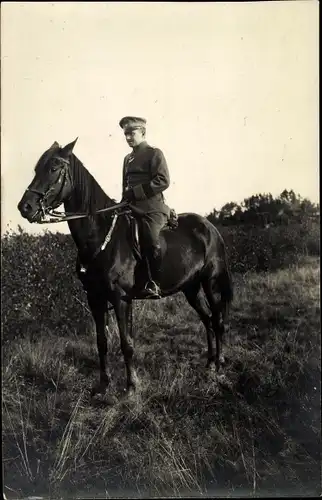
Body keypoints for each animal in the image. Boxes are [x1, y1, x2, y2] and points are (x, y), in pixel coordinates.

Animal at [17, 140, 233, 394]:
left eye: (53, 169)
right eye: (36, 169)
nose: (25, 207)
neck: (99, 236)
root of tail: (210, 227)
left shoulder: (120, 298)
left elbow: (126, 342)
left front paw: (131, 386)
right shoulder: (95, 298)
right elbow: (101, 342)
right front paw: (103, 384)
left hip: (211, 282)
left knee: (218, 320)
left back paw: (219, 365)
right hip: (190, 287)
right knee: (207, 319)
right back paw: (209, 362)